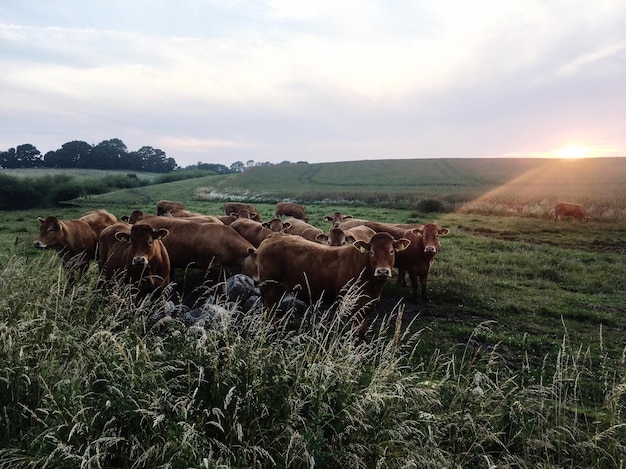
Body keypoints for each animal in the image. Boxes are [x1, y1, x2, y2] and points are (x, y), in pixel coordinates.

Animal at [255, 231, 410, 334]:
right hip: (271, 286)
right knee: (270, 310)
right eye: (371, 251)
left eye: (391, 251)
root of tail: (273, 236)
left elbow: (361, 332)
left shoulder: (367, 305)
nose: (382, 271)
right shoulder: (353, 304)